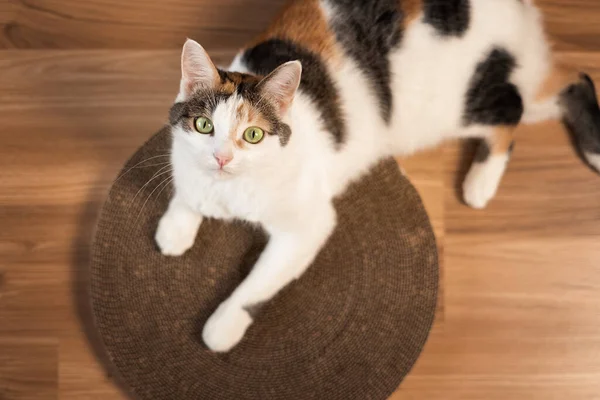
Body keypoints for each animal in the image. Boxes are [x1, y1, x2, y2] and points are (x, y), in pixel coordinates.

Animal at [156, 0, 600, 352]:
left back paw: (483, 182)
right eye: (203, 126)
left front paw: (222, 324)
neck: (227, 190)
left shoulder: (308, 224)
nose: (222, 158)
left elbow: (256, 284)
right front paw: (175, 227)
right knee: (568, 81)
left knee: (512, 108)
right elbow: (186, 189)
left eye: (252, 135)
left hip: (450, 105)